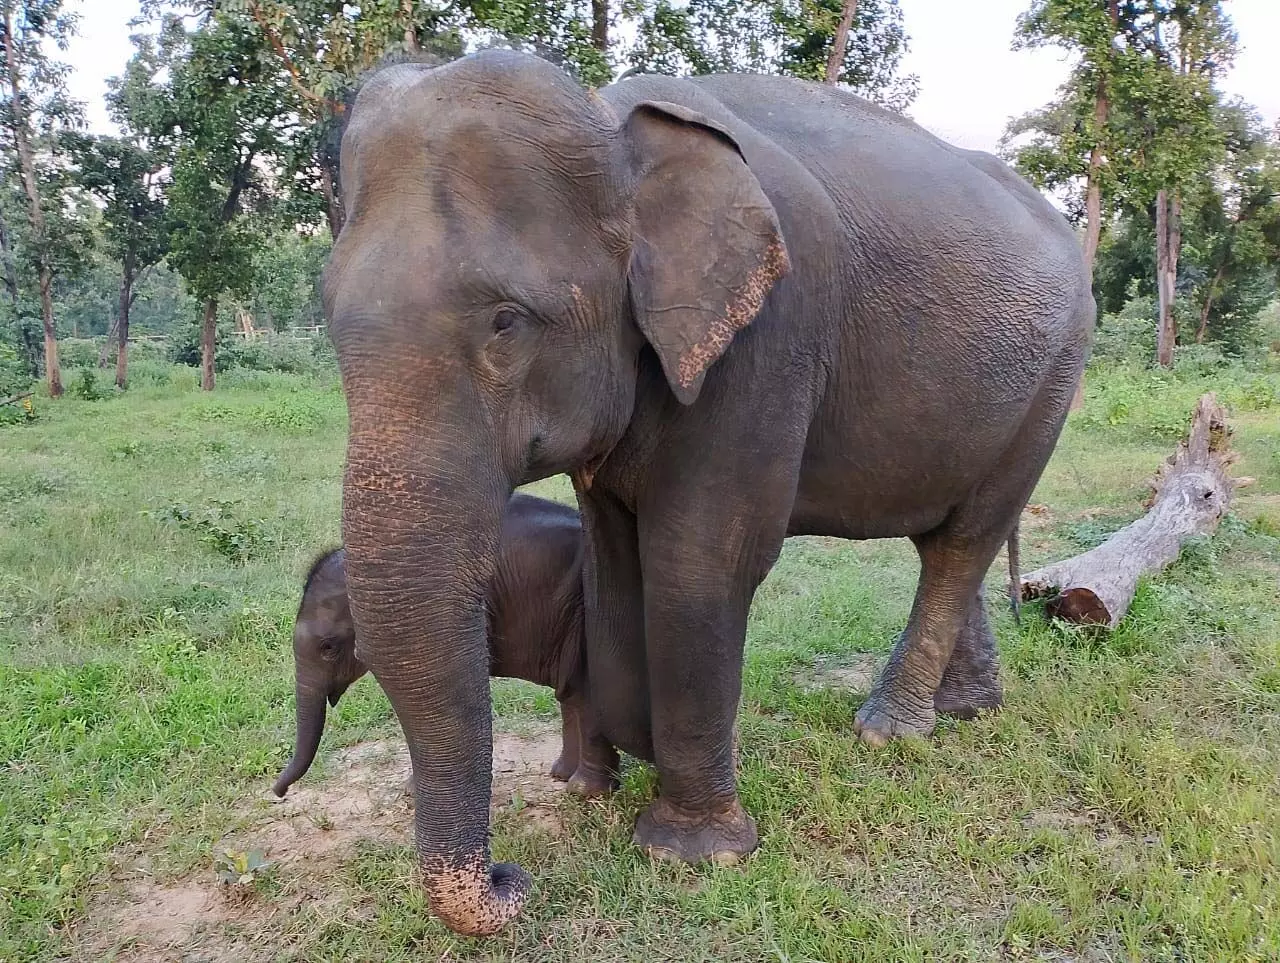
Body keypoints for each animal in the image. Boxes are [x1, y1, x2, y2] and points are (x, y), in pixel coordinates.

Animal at [273, 491, 619, 799]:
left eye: (328, 647)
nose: (279, 793)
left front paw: (414, 793)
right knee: (570, 691)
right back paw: (561, 775)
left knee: (585, 692)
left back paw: (584, 792)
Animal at [325, 48, 1095, 937]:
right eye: (329, 320)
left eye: (506, 323)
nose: (510, 875)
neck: (614, 124)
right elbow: (614, 561)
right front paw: (608, 777)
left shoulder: (769, 338)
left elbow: (700, 561)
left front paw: (691, 852)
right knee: (946, 538)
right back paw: (966, 711)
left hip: (1058, 377)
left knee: (966, 538)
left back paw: (887, 734)